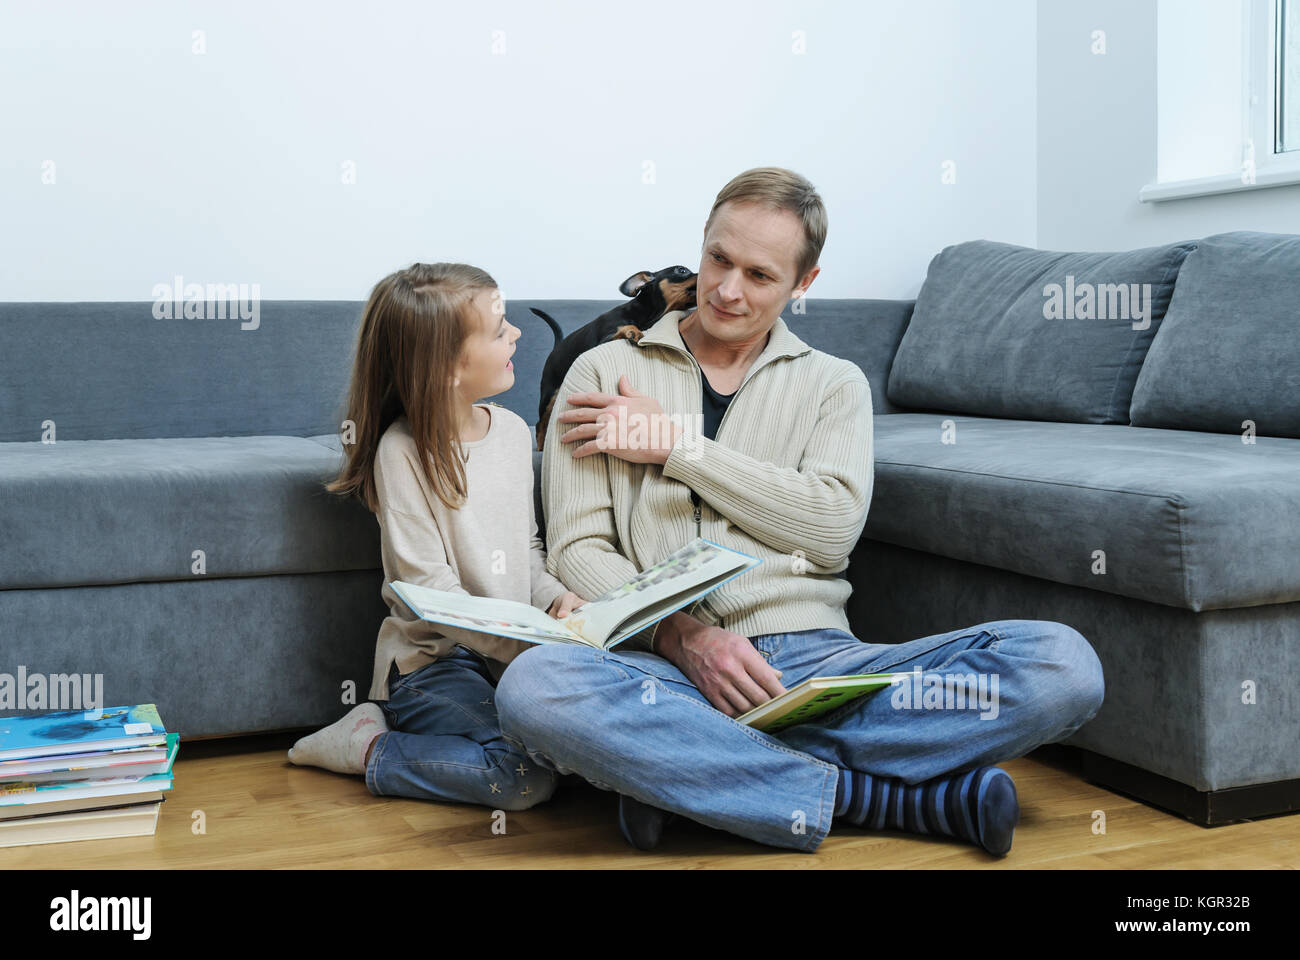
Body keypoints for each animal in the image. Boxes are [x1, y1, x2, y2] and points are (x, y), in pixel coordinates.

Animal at [527, 265, 696, 447]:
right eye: (681, 271)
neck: (647, 315)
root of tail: (557, 346)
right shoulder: (602, 341)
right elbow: (625, 327)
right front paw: (634, 332)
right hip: (549, 393)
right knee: (540, 422)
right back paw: (541, 445)